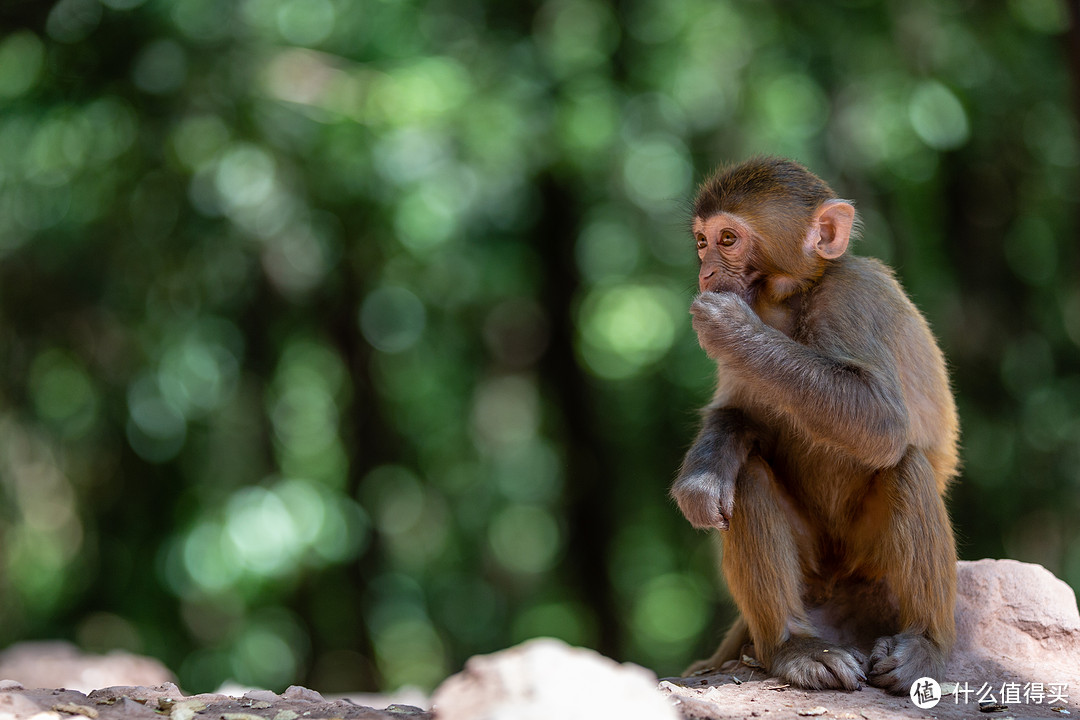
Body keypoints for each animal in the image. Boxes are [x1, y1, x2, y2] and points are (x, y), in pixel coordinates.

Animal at [669, 155, 959, 695]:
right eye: (701, 240)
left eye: (727, 239)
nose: (705, 271)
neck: (788, 298)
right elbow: (737, 417)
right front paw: (703, 477)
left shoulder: (851, 297)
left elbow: (883, 421)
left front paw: (732, 329)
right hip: (811, 567)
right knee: (749, 476)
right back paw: (795, 648)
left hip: (867, 560)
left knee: (905, 463)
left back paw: (925, 643)